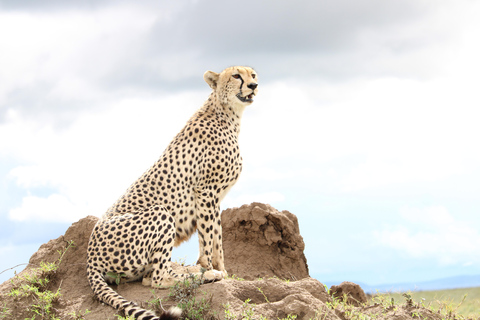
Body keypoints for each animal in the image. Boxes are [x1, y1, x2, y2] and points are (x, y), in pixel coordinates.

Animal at [86, 66, 258, 318]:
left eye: (253, 75)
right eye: (236, 76)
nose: (254, 86)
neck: (226, 113)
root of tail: (89, 257)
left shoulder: (214, 197)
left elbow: (216, 237)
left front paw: (222, 270)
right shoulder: (205, 191)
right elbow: (208, 236)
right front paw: (209, 269)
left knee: (150, 276)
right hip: (160, 213)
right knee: (156, 279)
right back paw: (200, 275)